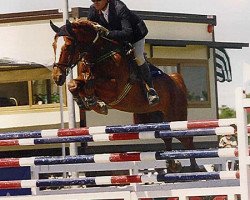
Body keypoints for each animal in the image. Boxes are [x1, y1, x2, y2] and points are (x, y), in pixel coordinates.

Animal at [50, 19, 199, 172]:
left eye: (68, 46)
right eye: (54, 45)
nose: (57, 77)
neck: (98, 54)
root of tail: (175, 80)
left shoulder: (114, 88)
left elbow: (90, 84)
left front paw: (96, 103)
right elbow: (74, 84)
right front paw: (85, 101)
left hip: (176, 117)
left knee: (187, 140)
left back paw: (194, 168)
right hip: (155, 118)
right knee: (167, 137)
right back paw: (172, 164)